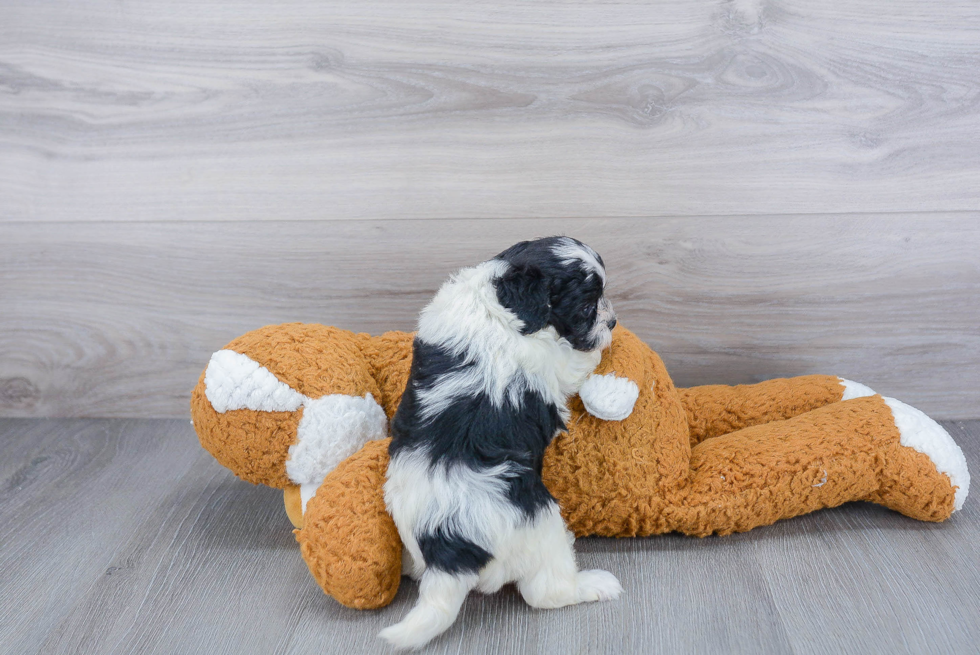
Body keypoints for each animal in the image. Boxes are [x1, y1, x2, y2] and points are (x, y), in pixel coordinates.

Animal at [378, 237, 620, 652]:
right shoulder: (552, 361)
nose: (613, 321)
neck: (500, 301)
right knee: (546, 592)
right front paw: (598, 347)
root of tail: (449, 550)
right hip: (540, 524)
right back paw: (594, 584)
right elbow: (575, 359)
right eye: (587, 308)